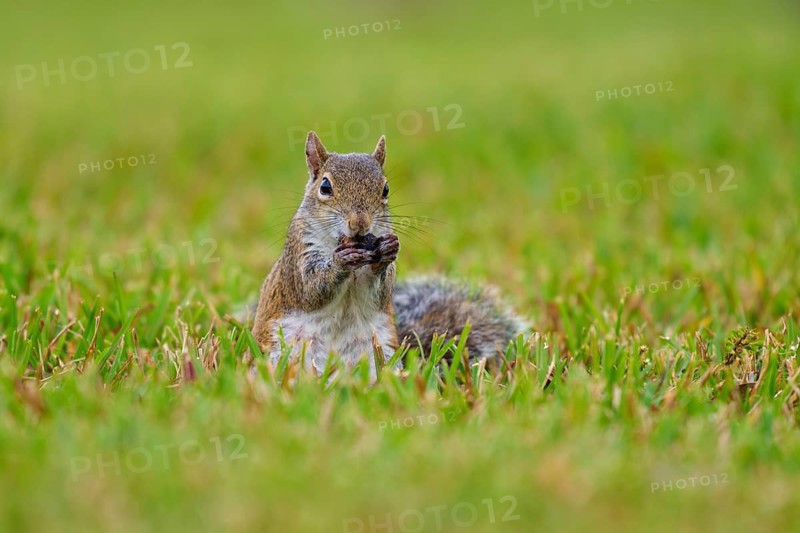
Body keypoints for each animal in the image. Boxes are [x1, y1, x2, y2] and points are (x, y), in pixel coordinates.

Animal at [252, 131, 528, 376]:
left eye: (385, 189)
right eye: (325, 186)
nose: (360, 223)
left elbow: (378, 292)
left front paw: (386, 253)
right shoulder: (298, 254)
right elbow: (309, 289)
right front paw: (340, 261)